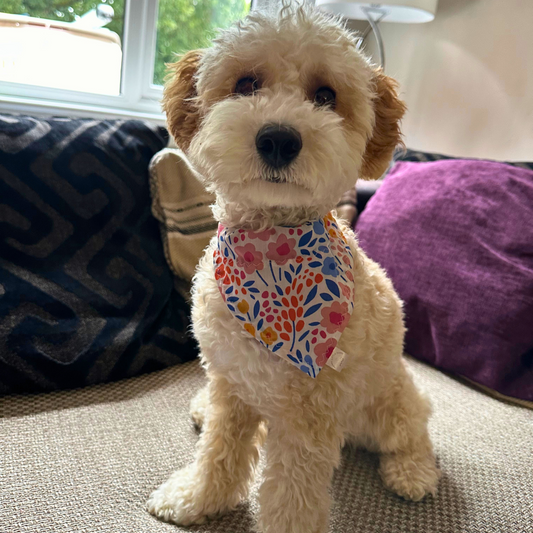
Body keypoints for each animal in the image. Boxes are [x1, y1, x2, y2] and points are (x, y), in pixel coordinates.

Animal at [147, 5, 440, 532]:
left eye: (325, 96)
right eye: (245, 84)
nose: (279, 139)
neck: (269, 254)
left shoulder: (309, 415)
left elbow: (292, 496)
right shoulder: (232, 384)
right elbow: (219, 451)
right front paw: (197, 498)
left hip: (389, 400)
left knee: (412, 430)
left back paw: (413, 472)